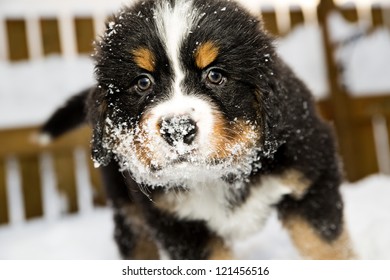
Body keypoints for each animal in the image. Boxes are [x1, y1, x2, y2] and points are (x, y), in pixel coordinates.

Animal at [41, 0, 354, 260]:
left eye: (215, 75)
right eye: (143, 82)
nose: (177, 129)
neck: (213, 175)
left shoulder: (311, 176)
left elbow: (326, 247)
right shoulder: (178, 223)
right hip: (126, 204)